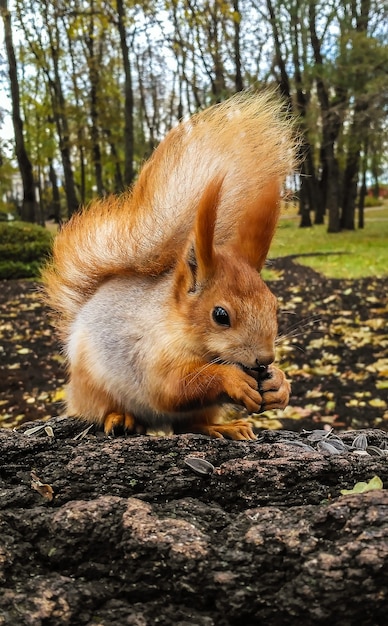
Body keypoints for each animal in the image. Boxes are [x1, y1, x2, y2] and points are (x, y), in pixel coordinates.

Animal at [43, 91, 298, 438]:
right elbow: (172, 388)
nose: (265, 359)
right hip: (94, 387)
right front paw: (231, 379)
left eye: (274, 306)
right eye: (220, 315)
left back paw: (224, 427)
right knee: (104, 408)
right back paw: (119, 418)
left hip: (202, 409)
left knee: (190, 424)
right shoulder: (150, 356)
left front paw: (280, 384)